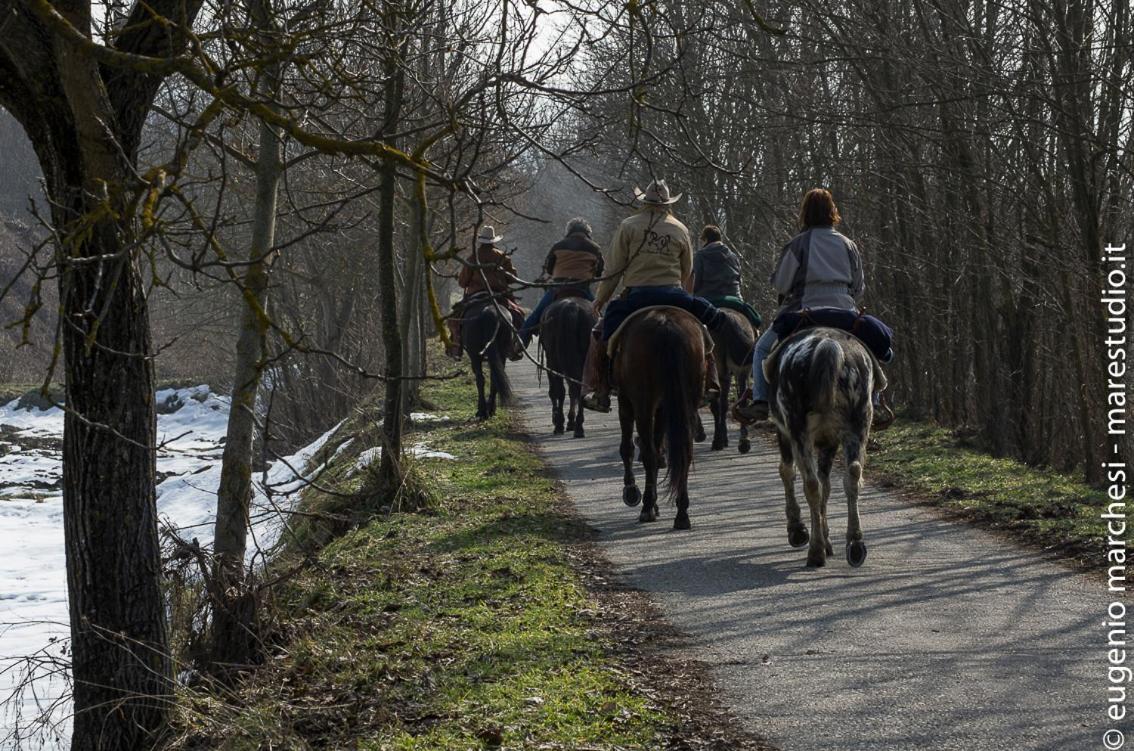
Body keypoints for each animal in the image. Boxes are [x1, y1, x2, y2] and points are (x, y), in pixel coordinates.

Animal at [537, 294, 598, 437]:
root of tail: (571, 307)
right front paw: (571, 422)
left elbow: (556, 391)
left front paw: (560, 419)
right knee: (577, 388)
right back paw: (578, 427)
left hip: (554, 361)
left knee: (560, 390)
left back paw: (560, 424)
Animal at [766, 326, 889, 567]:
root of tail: (828, 345)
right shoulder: (829, 442)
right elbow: (827, 486)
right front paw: (827, 539)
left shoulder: (784, 431)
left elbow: (787, 473)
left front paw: (798, 530)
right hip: (857, 427)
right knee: (852, 474)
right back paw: (855, 544)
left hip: (799, 432)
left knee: (811, 483)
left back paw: (815, 551)